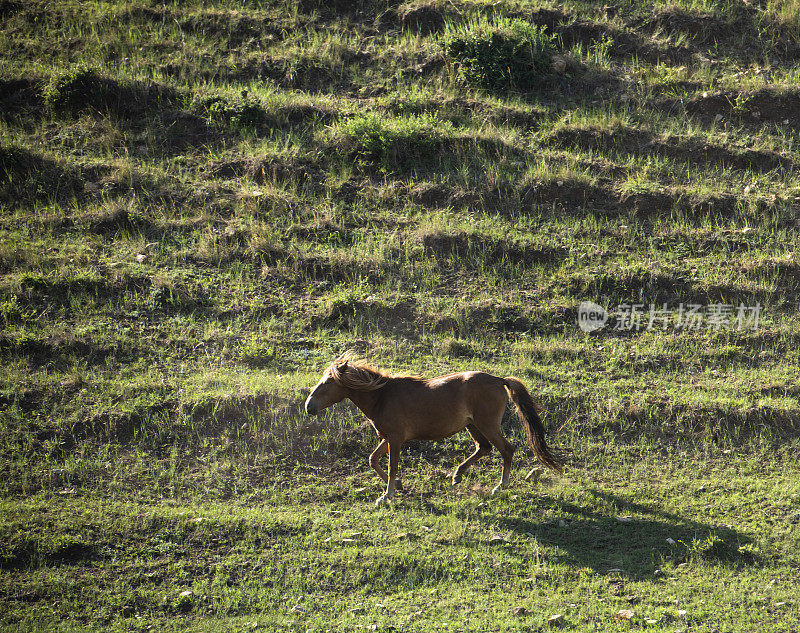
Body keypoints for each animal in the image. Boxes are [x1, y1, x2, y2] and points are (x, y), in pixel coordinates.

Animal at [304, 350, 560, 504]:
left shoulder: (395, 439)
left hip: (487, 424)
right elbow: (373, 459)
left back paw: (500, 486)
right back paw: (457, 475)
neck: (382, 396)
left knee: (506, 449)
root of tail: (499, 380)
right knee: (484, 448)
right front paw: (397, 486)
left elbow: (391, 467)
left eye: (329, 381)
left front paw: (386, 496)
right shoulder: (388, 437)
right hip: (473, 426)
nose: (308, 406)